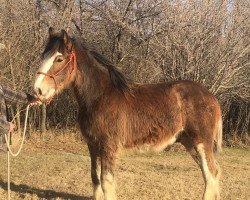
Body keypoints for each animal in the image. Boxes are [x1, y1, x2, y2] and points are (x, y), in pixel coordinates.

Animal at [33, 28, 223, 200]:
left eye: (59, 58)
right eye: (43, 56)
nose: (37, 90)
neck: (100, 96)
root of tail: (212, 98)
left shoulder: (108, 146)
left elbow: (106, 182)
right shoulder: (93, 145)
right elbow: (95, 178)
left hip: (201, 143)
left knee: (211, 174)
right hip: (190, 143)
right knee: (211, 174)